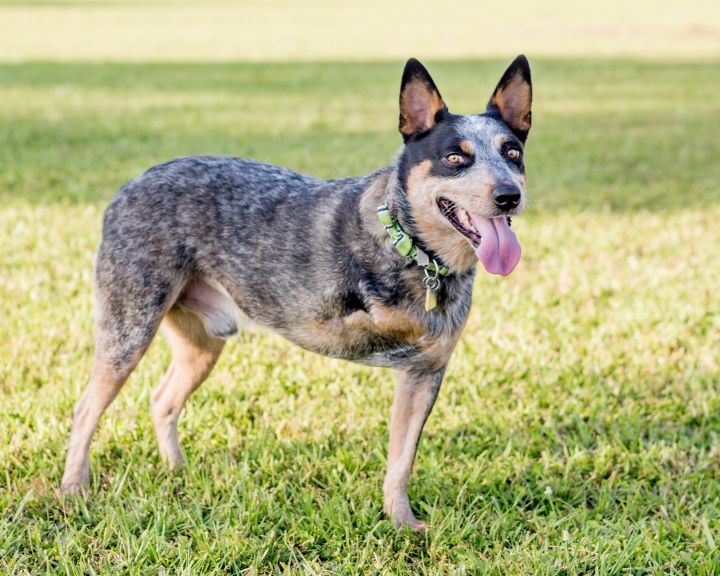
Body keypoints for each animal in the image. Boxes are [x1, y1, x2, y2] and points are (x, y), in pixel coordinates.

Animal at [62, 56, 532, 528]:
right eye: (455, 157)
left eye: (513, 153)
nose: (509, 195)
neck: (418, 252)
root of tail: (128, 187)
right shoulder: (327, 314)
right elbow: (368, 317)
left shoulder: (424, 372)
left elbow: (401, 458)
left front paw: (400, 521)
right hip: (129, 330)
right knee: (86, 409)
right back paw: (73, 489)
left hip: (204, 343)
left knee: (162, 400)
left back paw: (177, 471)